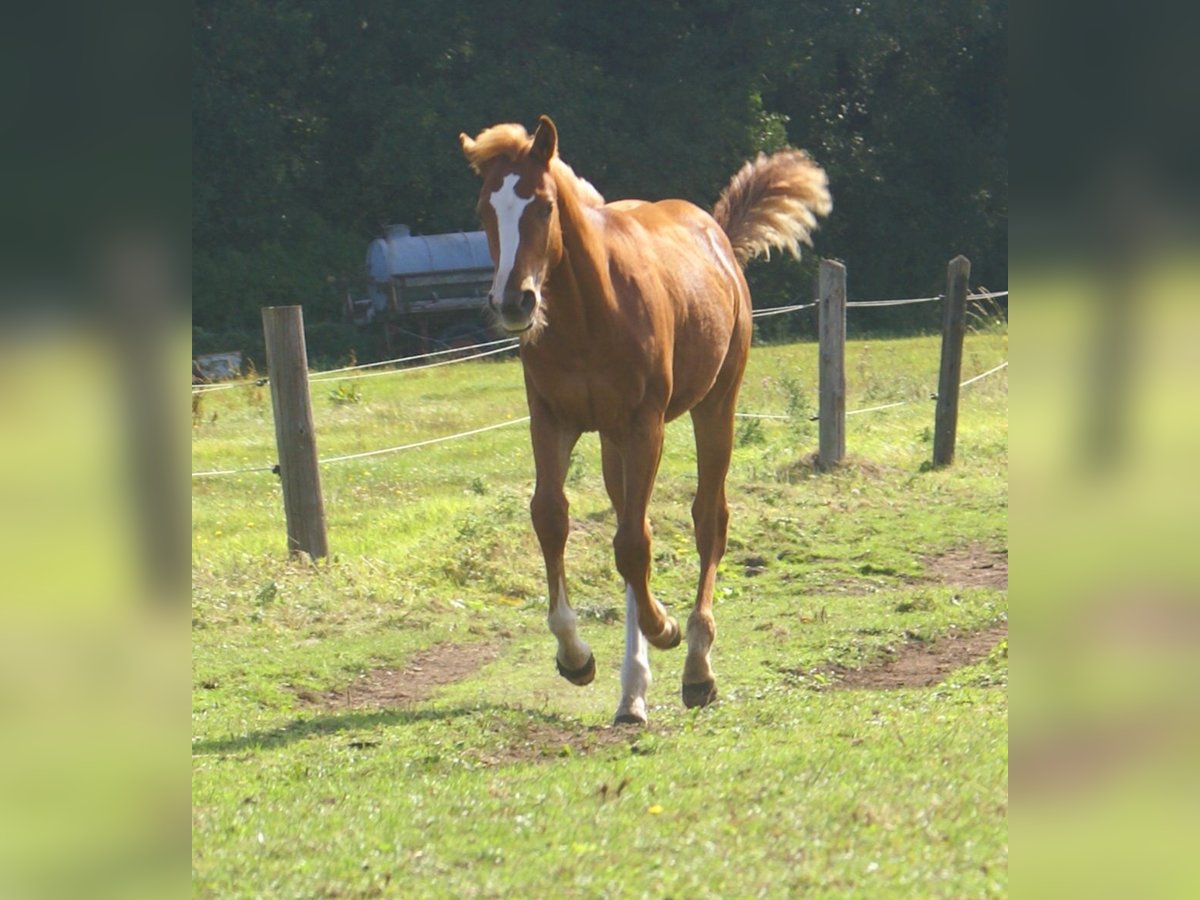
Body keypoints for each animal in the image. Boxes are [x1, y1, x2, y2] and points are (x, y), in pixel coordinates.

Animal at [460, 115, 831, 724]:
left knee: (706, 519)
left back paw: (696, 665)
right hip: (613, 439)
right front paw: (575, 656)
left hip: (714, 407)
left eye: (543, 205)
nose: (513, 302)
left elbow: (634, 546)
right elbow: (553, 518)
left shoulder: (645, 424)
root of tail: (717, 233)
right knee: (635, 527)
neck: (587, 315)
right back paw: (631, 693)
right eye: (484, 209)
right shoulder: (552, 420)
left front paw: (666, 630)